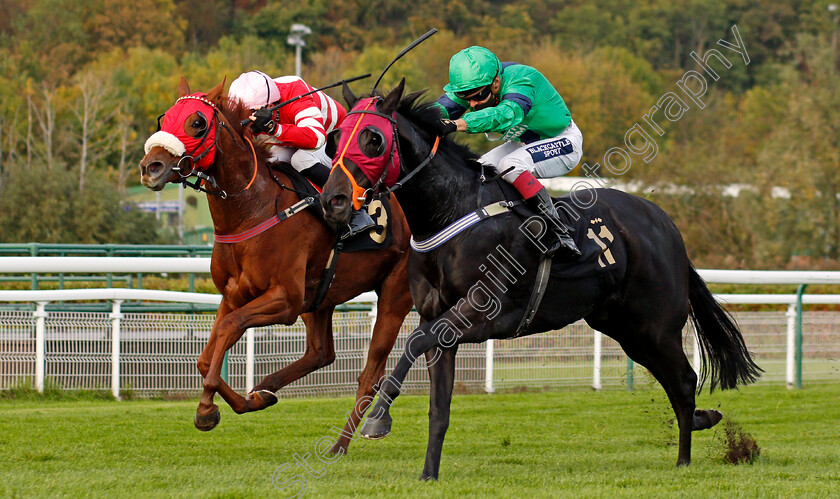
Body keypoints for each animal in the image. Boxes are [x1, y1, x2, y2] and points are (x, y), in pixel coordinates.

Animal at [139, 77, 414, 454]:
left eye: (197, 122)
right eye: (165, 118)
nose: (150, 167)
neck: (252, 209)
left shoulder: (284, 299)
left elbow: (229, 330)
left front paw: (207, 409)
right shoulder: (235, 294)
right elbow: (206, 358)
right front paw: (249, 399)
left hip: (394, 292)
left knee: (369, 373)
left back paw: (341, 444)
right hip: (321, 295)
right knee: (320, 353)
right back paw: (267, 388)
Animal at [316, 80, 760, 482]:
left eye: (373, 140)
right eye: (334, 139)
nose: (332, 201)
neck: (451, 212)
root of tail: (665, 222)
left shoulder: (487, 313)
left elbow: (414, 341)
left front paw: (378, 419)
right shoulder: (438, 317)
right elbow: (437, 404)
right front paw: (427, 474)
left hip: (656, 324)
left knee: (683, 381)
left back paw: (685, 459)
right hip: (624, 327)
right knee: (674, 380)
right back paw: (702, 421)